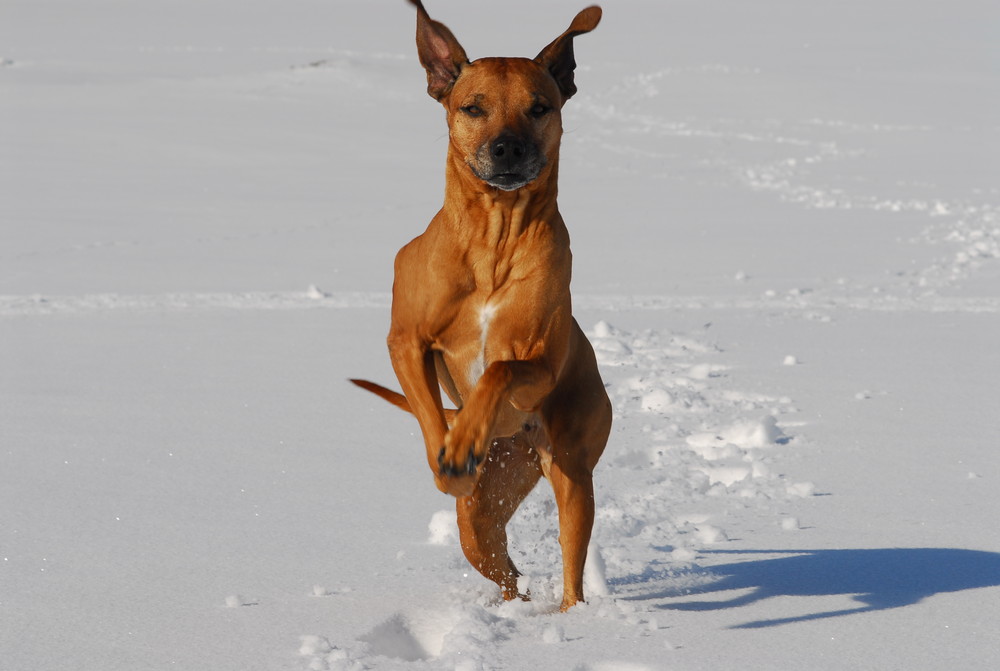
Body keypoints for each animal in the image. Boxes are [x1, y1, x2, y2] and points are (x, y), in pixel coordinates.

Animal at [356, 0, 612, 612]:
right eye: (472, 108)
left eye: (540, 107)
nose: (508, 149)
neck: (494, 235)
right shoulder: (405, 341)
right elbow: (428, 409)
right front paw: (449, 454)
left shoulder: (540, 365)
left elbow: (499, 368)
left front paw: (466, 436)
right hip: (482, 516)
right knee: (505, 569)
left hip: (572, 470)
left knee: (569, 564)